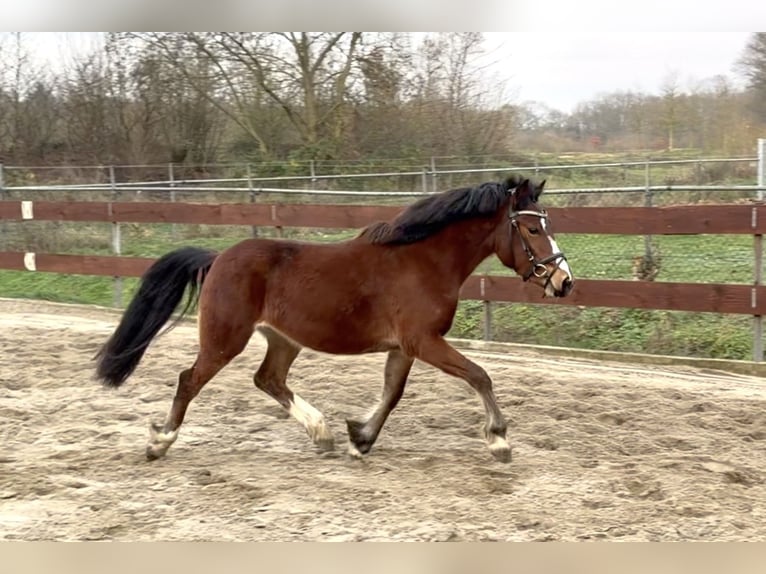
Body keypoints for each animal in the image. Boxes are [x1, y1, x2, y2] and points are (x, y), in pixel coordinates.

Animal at [95, 175, 574, 463]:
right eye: (533, 229)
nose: (564, 281)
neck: (422, 261)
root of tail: (217, 259)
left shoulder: (405, 347)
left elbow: (393, 393)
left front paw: (359, 438)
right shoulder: (424, 341)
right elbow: (479, 376)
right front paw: (499, 439)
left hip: (283, 339)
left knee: (268, 379)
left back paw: (321, 432)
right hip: (224, 339)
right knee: (189, 380)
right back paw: (160, 442)